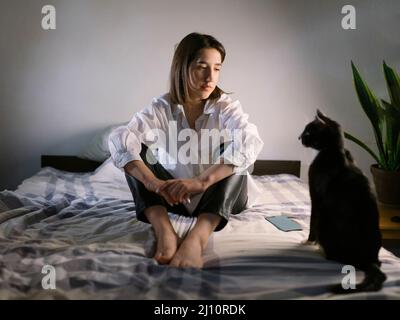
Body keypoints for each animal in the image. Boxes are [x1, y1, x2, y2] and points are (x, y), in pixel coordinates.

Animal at [300, 109, 388, 292]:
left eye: (308, 132)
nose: (299, 137)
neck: (335, 150)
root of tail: (369, 260)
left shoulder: (315, 196)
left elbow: (312, 221)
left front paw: (308, 241)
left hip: (325, 222)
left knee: (331, 253)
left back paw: (320, 248)